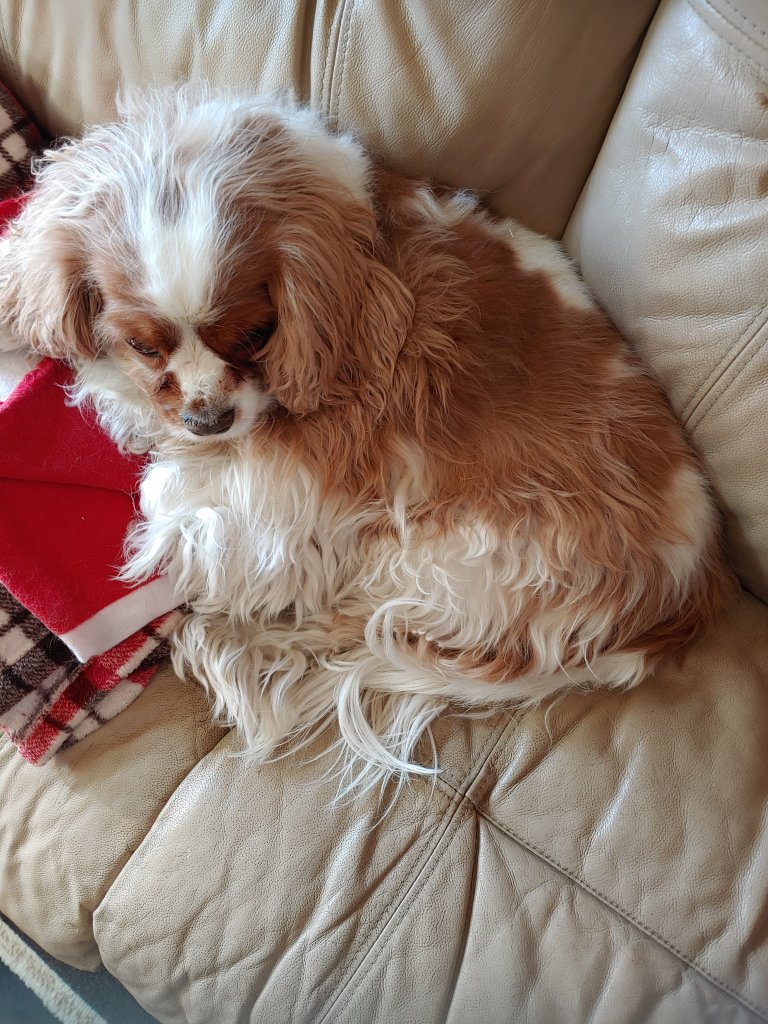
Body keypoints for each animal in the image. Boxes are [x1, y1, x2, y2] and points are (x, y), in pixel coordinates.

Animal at [0, 86, 732, 790]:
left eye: (255, 335)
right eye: (143, 345)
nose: (208, 422)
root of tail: (677, 603)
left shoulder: (306, 476)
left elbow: (186, 504)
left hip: (440, 554)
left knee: (346, 619)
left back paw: (228, 642)